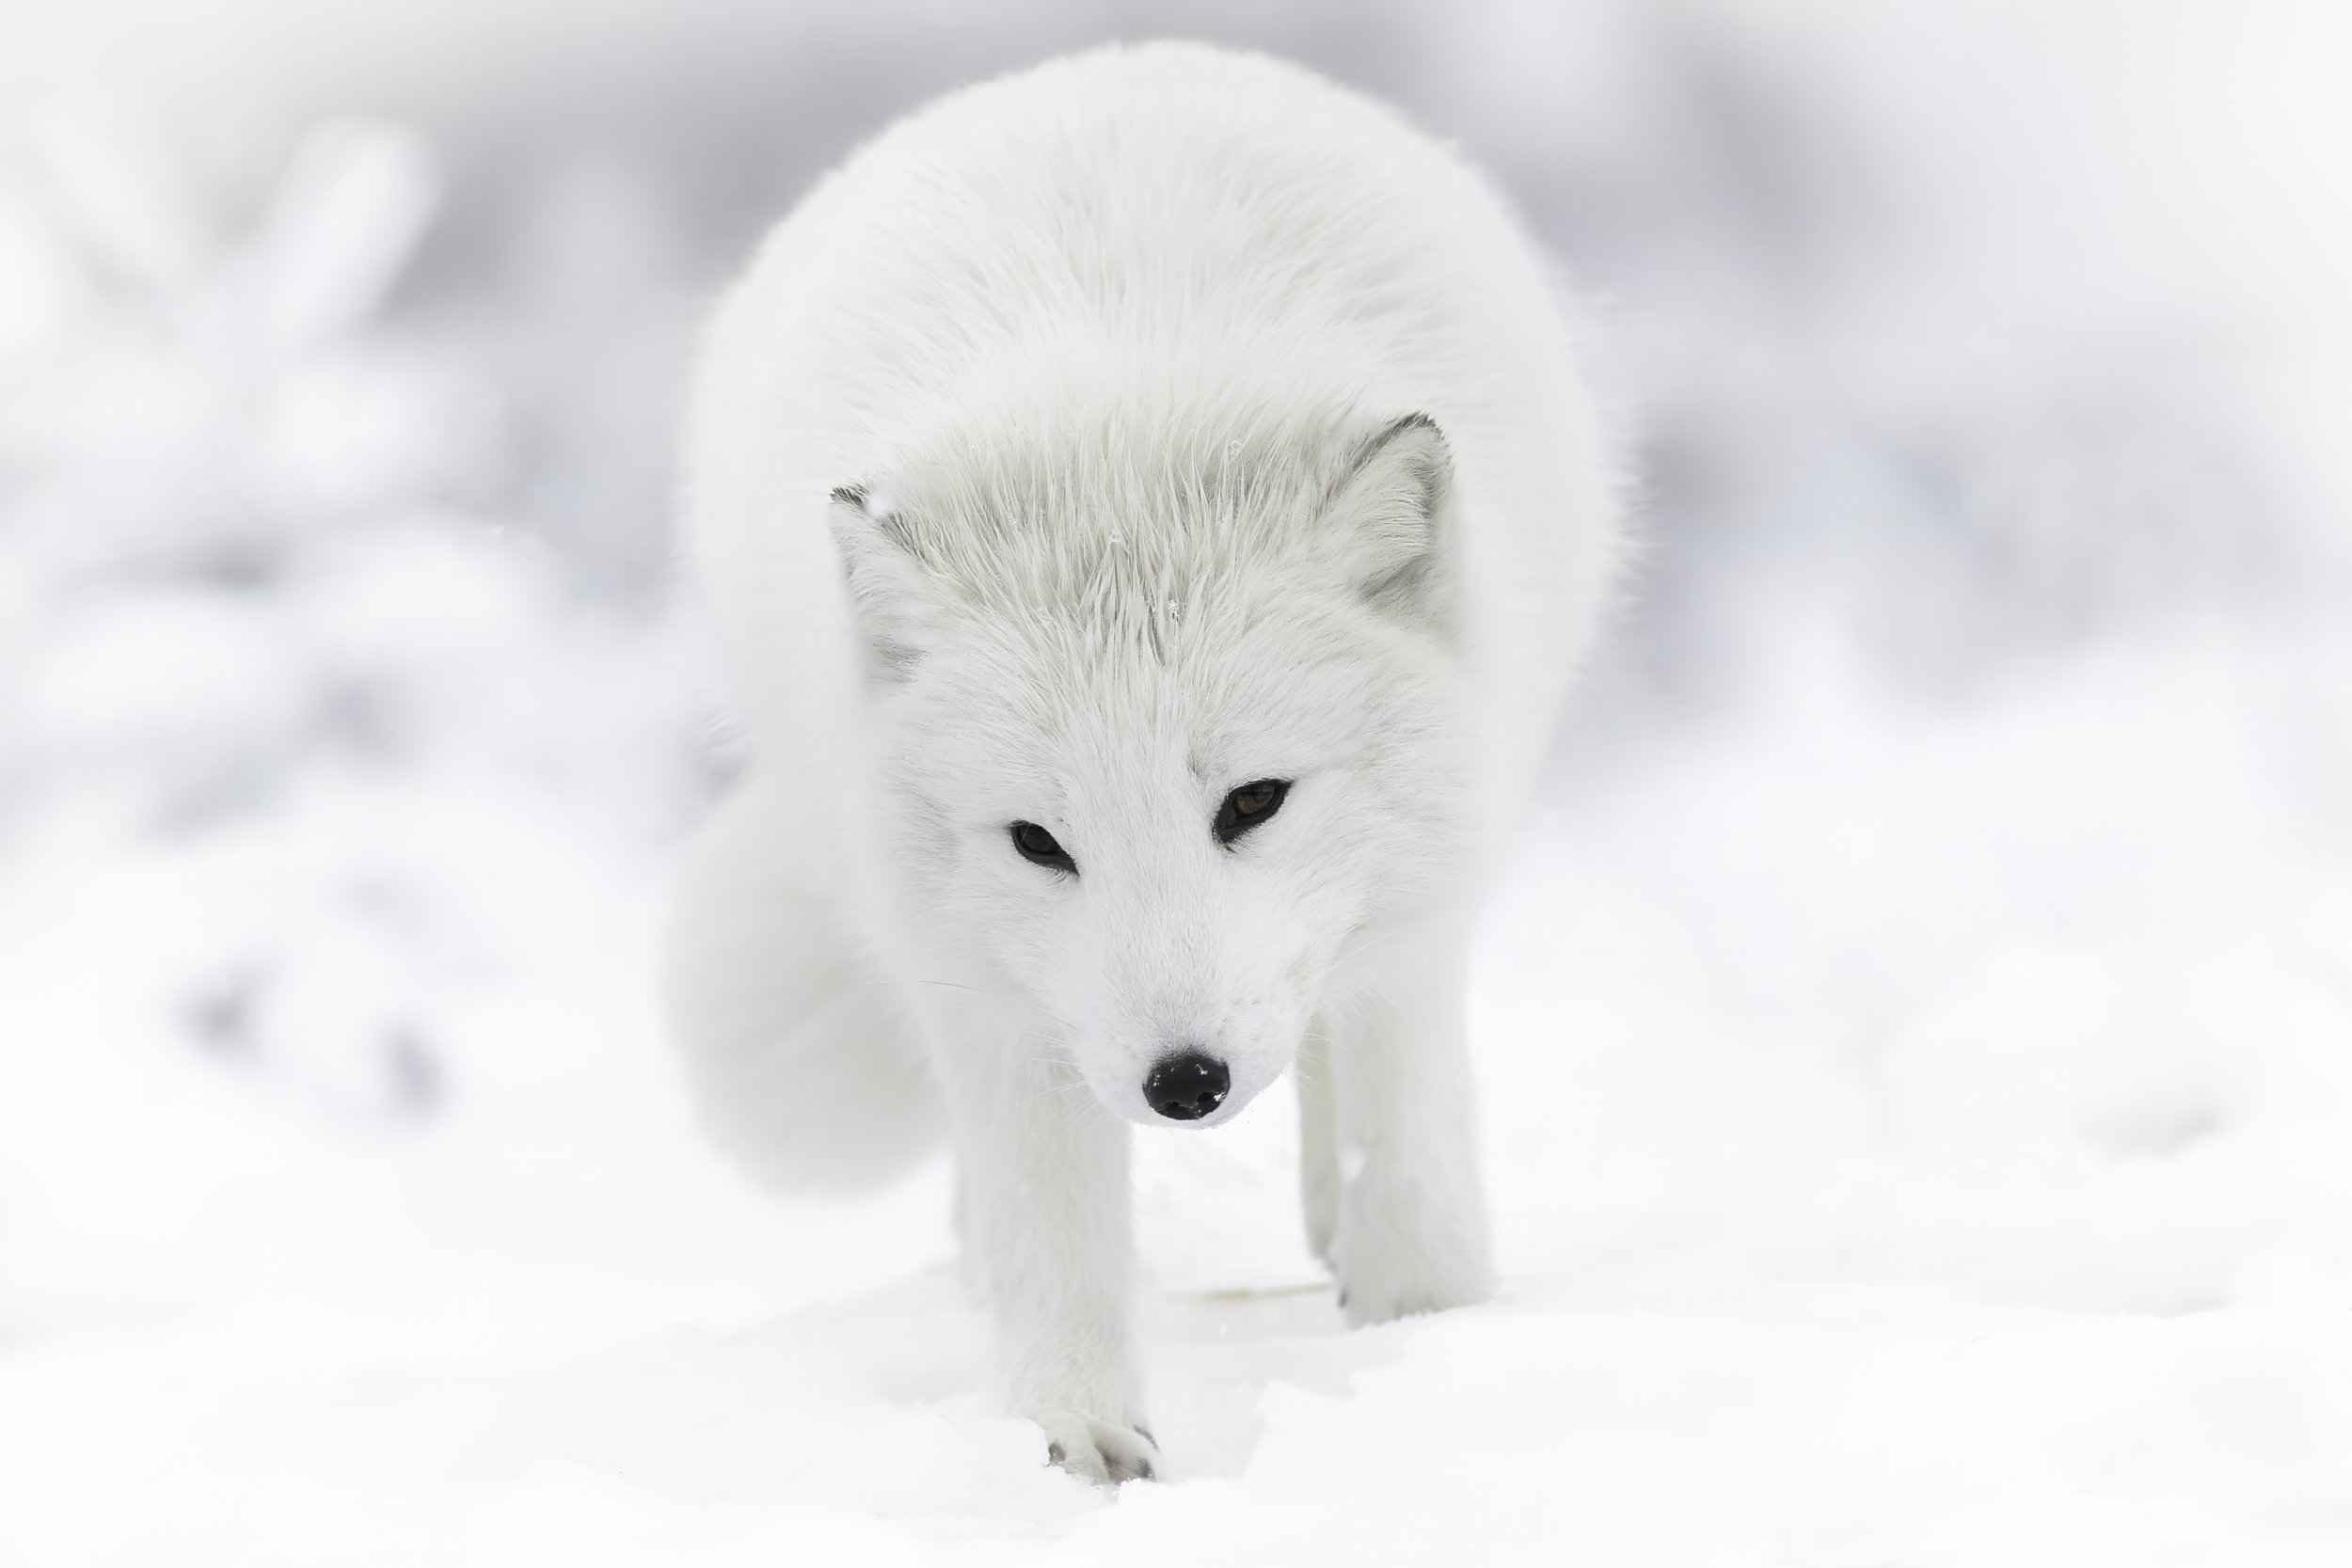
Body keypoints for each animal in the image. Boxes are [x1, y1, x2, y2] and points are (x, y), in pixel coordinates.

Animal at [665, 41, 1623, 1483]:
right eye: (1039, 840)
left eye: (1255, 800)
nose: (1186, 1083)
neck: (1121, 428)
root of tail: (1111, 58)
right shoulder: (995, 1004)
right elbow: (1051, 1223)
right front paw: (1068, 1437)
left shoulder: (1421, 924)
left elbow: (1403, 1140)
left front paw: (1425, 1338)